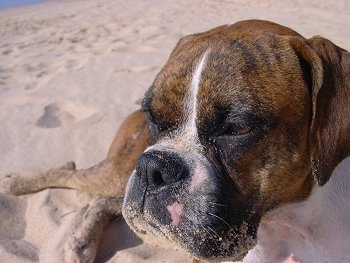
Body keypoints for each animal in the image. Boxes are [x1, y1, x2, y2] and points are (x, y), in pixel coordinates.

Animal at [0, 20, 350, 263]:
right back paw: (18, 185)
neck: (290, 222)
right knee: (72, 174)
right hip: (116, 172)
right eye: (153, 117)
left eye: (237, 129)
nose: (152, 168)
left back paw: (82, 243)